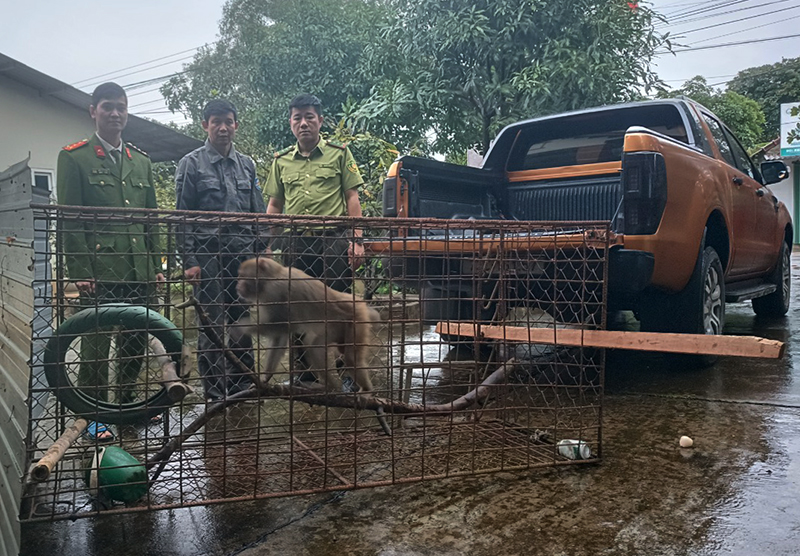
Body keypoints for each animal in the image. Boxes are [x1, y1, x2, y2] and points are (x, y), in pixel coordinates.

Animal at [236, 258, 380, 396]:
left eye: (243, 276)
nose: (238, 286)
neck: (272, 277)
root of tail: (357, 301)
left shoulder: (275, 291)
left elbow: (281, 326)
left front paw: (240, 328)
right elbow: (280, 336)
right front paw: (265, 379)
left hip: (356, 319)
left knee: (350, 358)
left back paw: (365, 389)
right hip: (334, 327)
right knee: (313, 346)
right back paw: (329, 386)